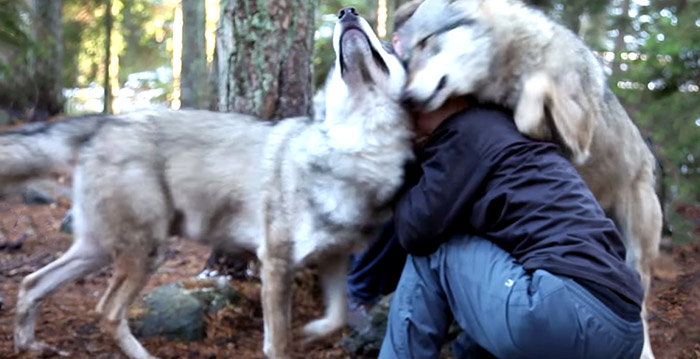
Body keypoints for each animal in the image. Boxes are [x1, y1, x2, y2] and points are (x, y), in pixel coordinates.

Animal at [2, 8, 412, 359]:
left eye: (388, 49)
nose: (347, 12)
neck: (355, 148)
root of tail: (106, 121)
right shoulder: (276, 263)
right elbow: (279, 344)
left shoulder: (333, 259)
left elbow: (337, 317)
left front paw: (313, 331)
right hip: (146, 252)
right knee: (106, 311)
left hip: (100, 250)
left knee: (32, 284)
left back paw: (30, 345)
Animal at [394, 0, 660, 359]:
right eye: (407, 60)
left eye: (426, 42)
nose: (406, 98)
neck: (514, 61)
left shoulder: (580, 136)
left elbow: (534, 93)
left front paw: (532, 123)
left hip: (637, 248)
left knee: (643, 305)